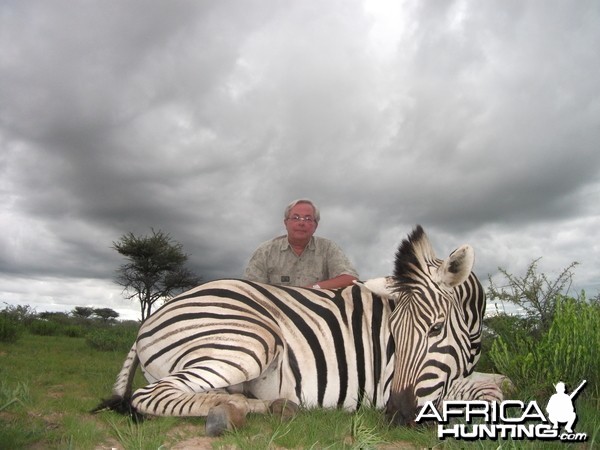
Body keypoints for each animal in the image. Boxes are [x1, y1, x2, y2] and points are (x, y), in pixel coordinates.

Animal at [95, 227, 506, 434]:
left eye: (436, 328)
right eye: (393, 335)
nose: (396, 416)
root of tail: (148, 321)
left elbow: (495, 381)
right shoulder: (390, 384)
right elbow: (487, 394)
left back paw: (263, 406)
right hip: (251, 341)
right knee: (150, 396)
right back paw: (232, 413)